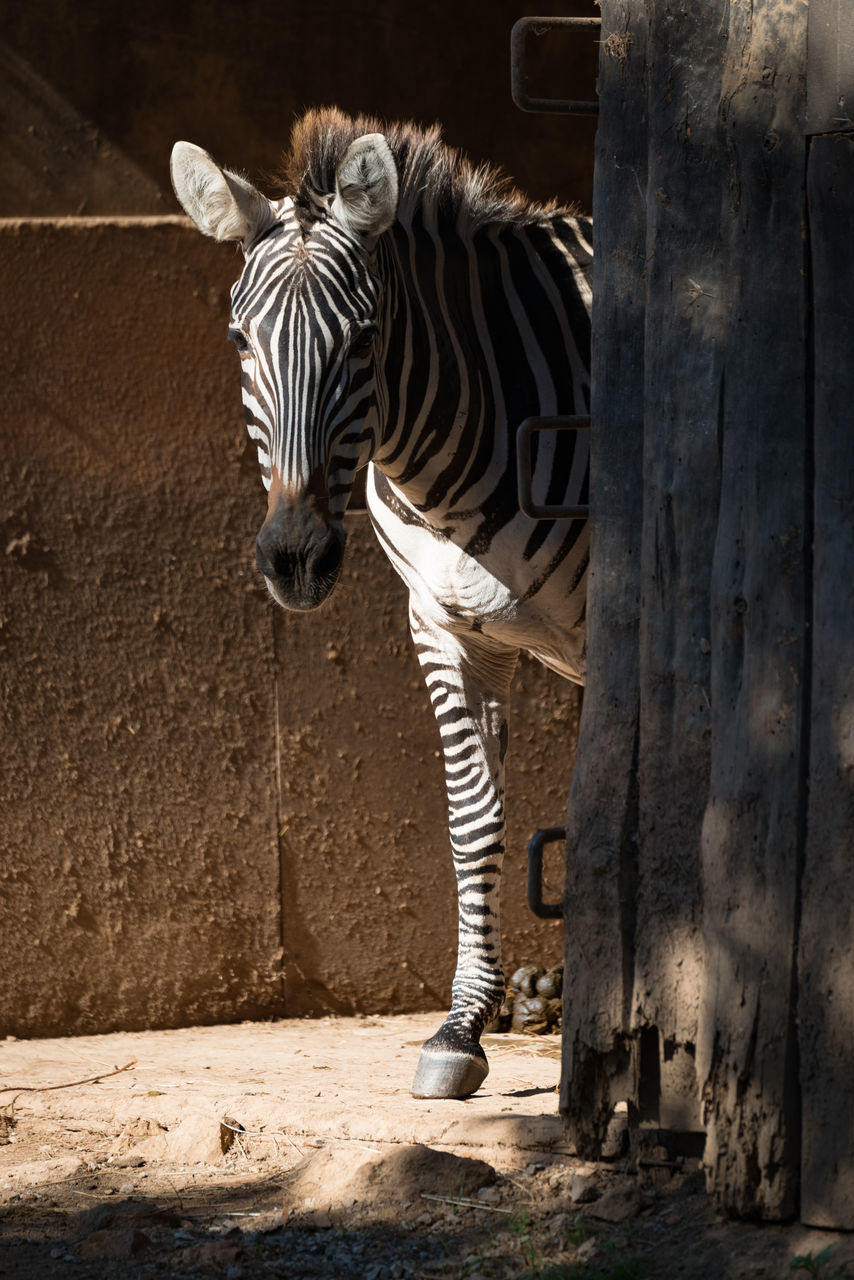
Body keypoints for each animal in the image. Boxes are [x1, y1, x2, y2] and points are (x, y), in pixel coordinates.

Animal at [170, 107, 591, 1100]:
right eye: (240, 342)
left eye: (364, 341)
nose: (293, 560)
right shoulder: (443, 628)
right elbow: (473, 821)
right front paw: (463, 1028)